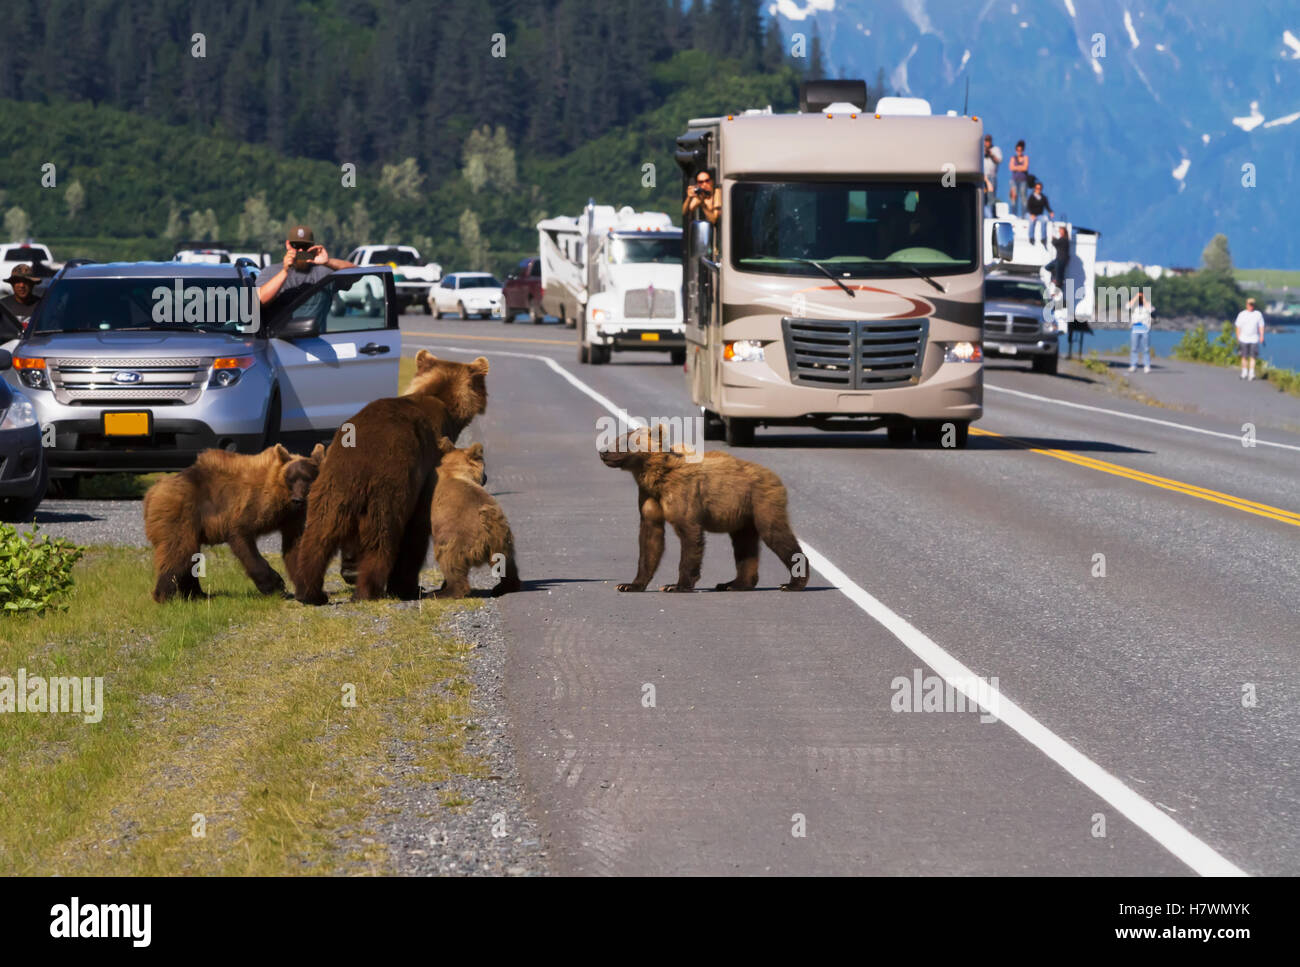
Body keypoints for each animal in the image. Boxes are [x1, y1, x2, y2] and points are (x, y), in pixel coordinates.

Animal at [143, 443, 326, 602]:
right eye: (291, 479)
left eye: (308, 478)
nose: (298, 500)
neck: (281, 498)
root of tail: (153, 491)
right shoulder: (248, 506)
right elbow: (242, 538)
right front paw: (276, 585)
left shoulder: (291, 518)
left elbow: (296, 546)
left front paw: (312, 593)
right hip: (181, 514)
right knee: (178, 552)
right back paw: (164, 595)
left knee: (189, 555)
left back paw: (197, 594)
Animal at [290, 349, 489, 605]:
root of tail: (360, 461)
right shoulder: (427, 469)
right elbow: (417, 530)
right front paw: (407, 586)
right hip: (388, 487)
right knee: (382, 537)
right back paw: (367, 591)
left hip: (331, 484)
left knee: (318, 535)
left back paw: (310, 592)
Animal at [429, 438, 521, 599]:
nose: (486, 477)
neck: (455, 472)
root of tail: (488, 522)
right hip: (503, 539)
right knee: (507, 563)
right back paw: (503, 587)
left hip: (457, 538)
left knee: (449, 561)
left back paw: (443, 592)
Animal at [599, 424, 807, 592]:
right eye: (617, 439)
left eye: (624, 442)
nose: (602, 452)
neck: (655, 476)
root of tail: (774, 475)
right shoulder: (649, 497)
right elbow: (650, 538)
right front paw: (630, 585)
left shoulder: (684, 494)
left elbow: (689, 533)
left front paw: (676, 585)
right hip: (743, 515)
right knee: (744, 545)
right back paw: (734, 583)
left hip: (762, 501)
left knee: (775, 533)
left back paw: (793, 583)